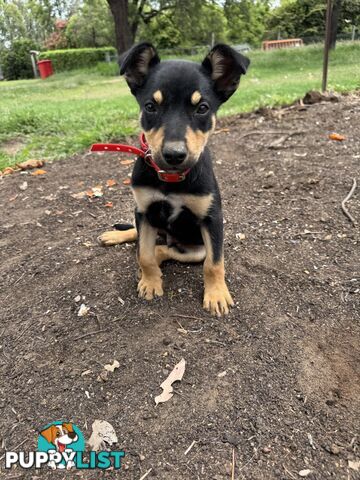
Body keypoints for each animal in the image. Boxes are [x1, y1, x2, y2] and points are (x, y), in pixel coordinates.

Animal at [99, 43, 250, 316]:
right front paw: (150, 283)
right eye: (150, 106)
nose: (174, 155)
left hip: (193, 248)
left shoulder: (212, 219)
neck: (170, 179)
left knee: (164, 250)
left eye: (202, 108)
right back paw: (116, 236)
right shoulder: (144, 210)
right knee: (143, 241)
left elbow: (214, 263)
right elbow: (144, 255)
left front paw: (216, 295)